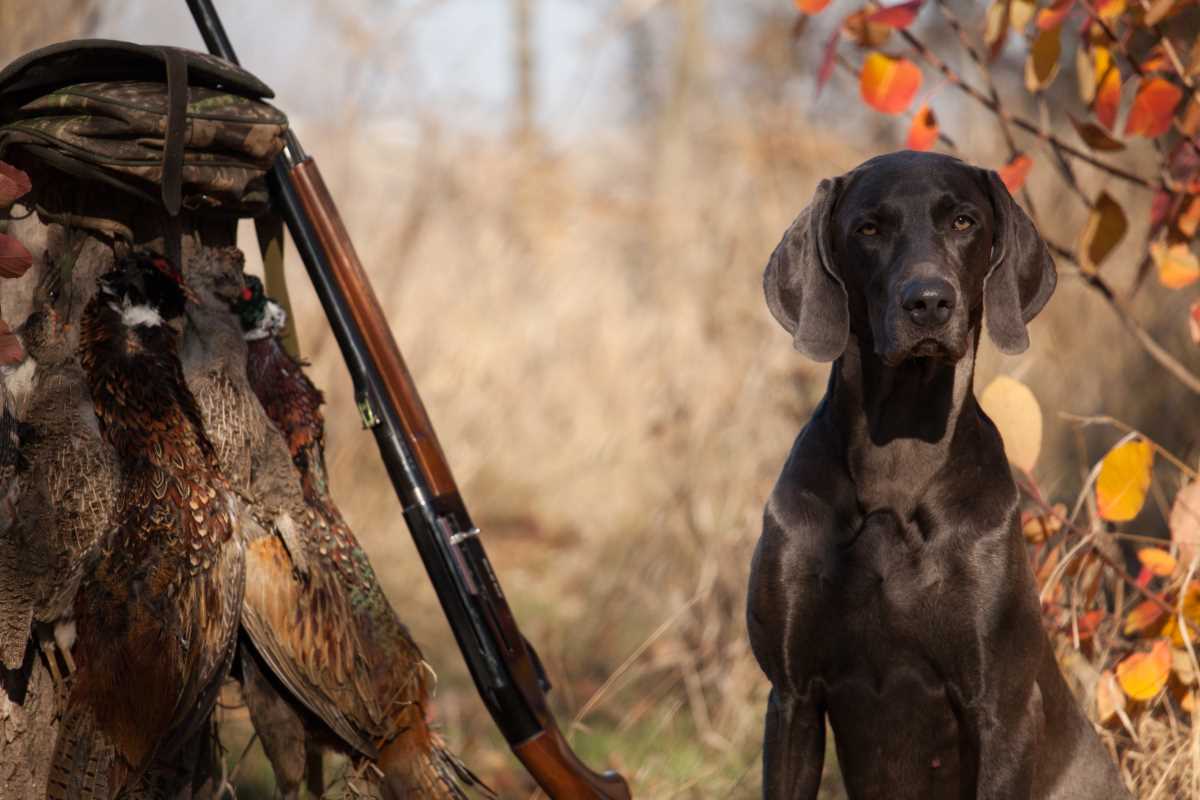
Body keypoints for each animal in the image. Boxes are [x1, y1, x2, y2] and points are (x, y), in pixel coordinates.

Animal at [744, 151, 1128, 800]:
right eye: (869, 228)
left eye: (964, 222)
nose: (928, 302)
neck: (897, 461)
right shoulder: (792, 698)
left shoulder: (1000, 707)